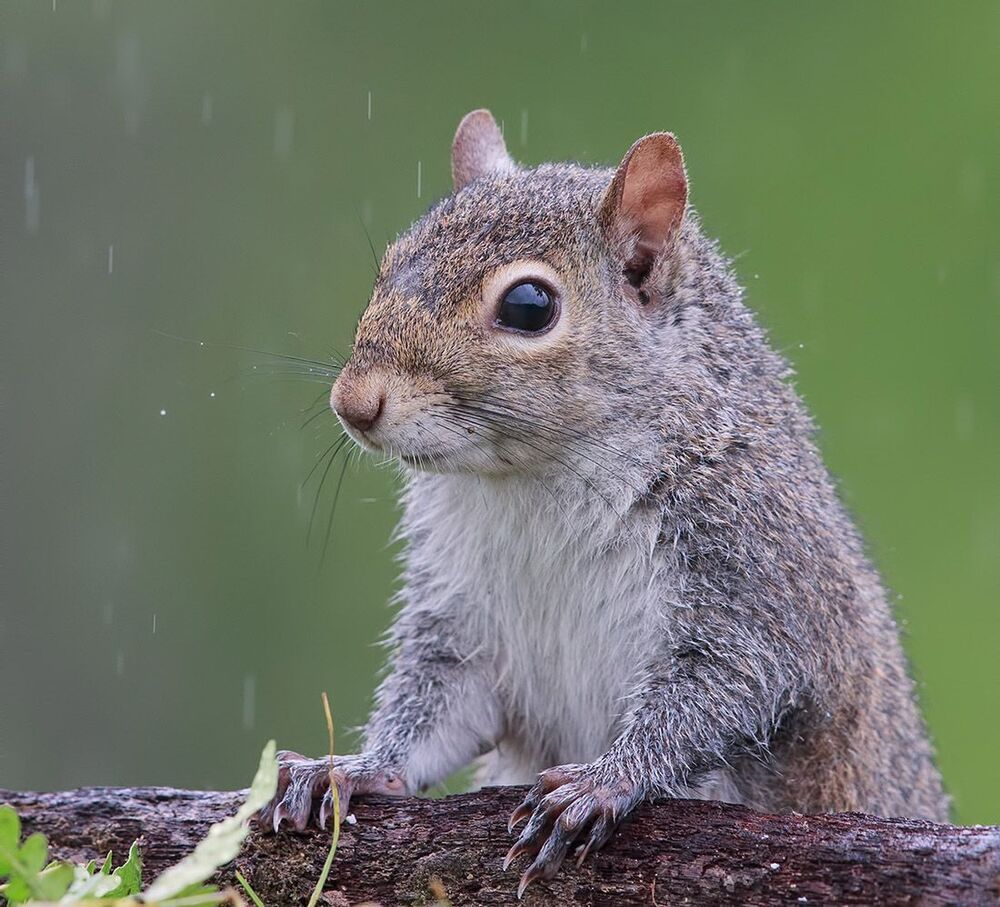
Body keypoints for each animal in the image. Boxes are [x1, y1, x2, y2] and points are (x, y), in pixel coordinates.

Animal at [260, 109, 949, 895]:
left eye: (529, 306)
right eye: (392, 264)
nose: (353, 403)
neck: (536, 480)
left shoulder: (756, 568)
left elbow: (726, 686)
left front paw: (606, 780)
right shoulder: (465, 620)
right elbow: (441, 699)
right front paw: (356, 767)